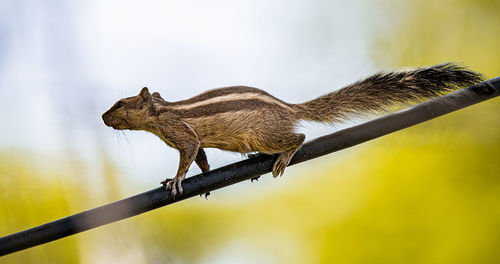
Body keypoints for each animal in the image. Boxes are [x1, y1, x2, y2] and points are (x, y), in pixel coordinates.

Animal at [102, 62, 484, 196]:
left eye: (119, 104)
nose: (103, 117)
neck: (162, 113)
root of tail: (288, 108)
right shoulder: (191, 140)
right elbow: (203, 158)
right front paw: (204, 181)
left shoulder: (181, 133)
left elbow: (189, 154)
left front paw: (176, 180)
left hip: (265, 132)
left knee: (299, 136)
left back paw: (284, 155)